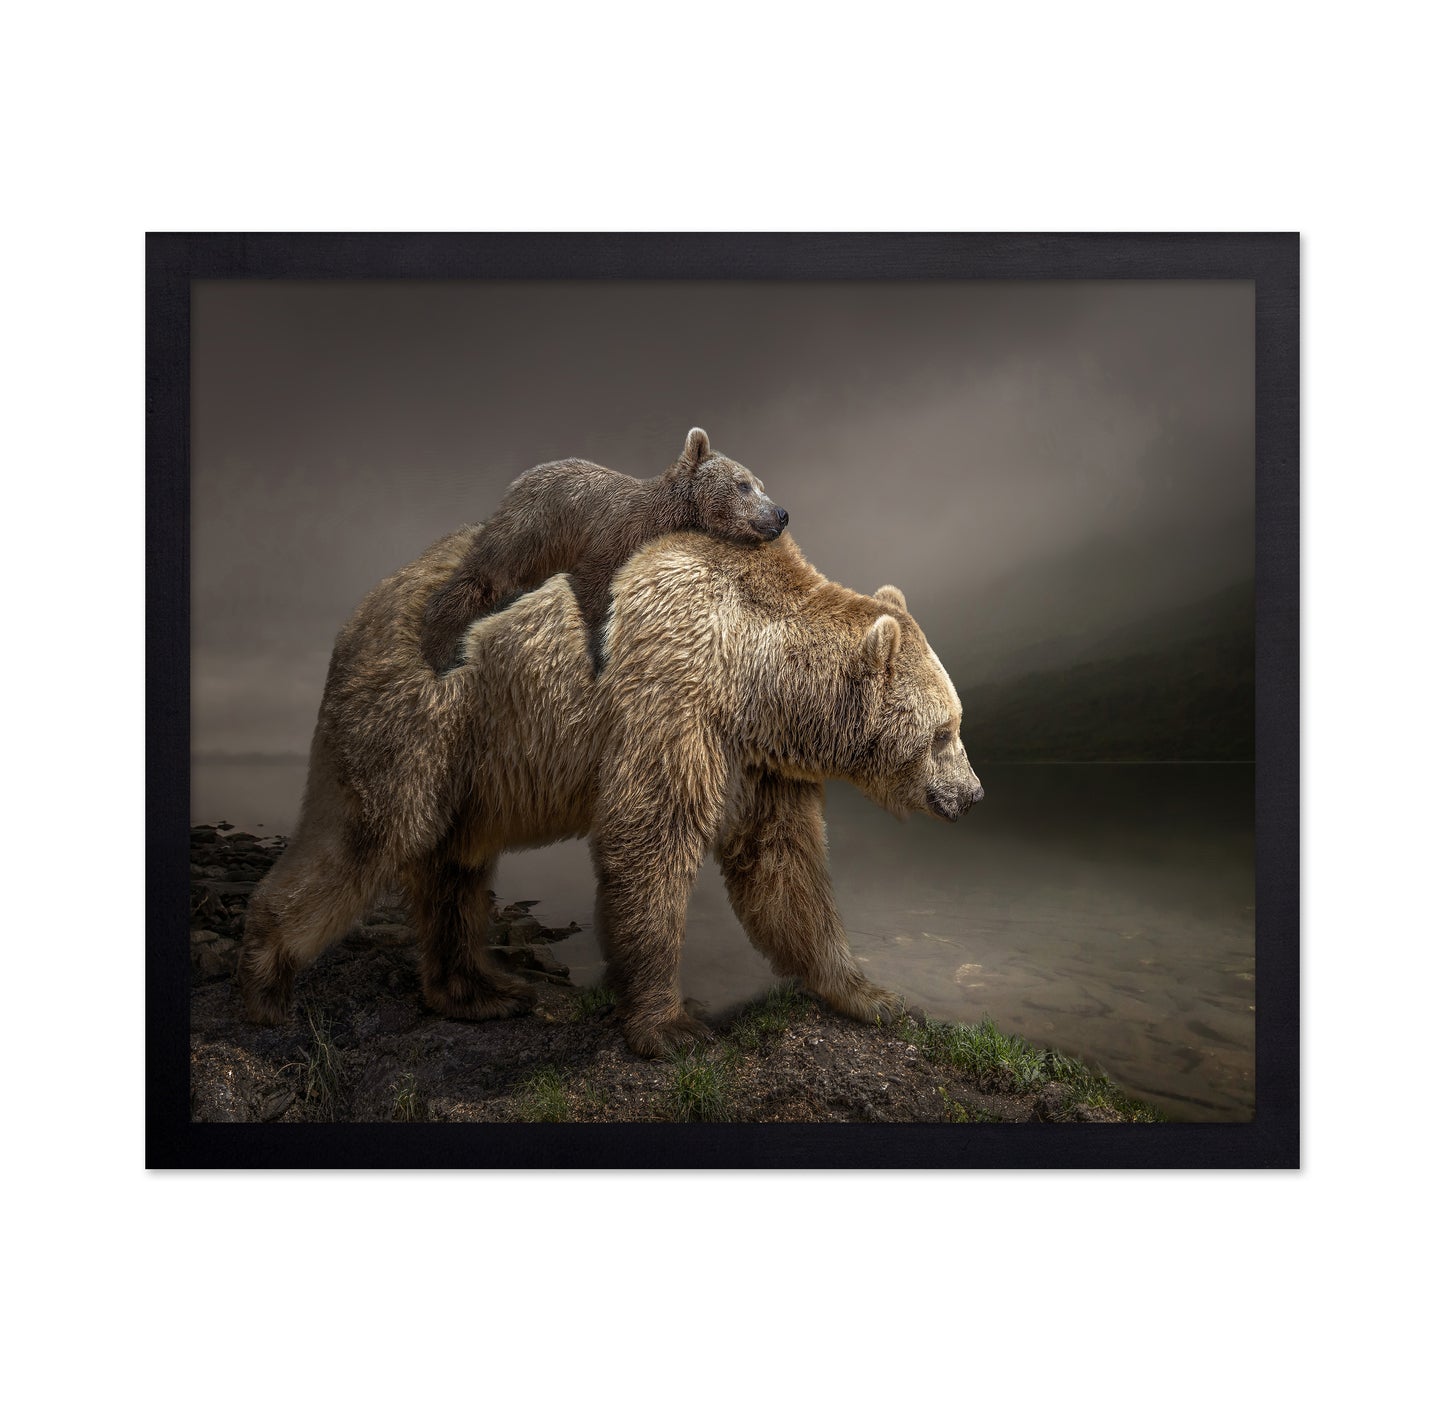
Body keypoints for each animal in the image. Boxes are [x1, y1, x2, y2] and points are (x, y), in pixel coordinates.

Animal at [238, 527, 983, 1057]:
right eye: (943, 731)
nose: (973, 794)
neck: (756, 678)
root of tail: (357, 613)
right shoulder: (672, 696)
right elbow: (649, 840)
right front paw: (672, 1025)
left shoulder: (761, 762)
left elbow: (783, 867)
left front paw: (872, 995)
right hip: (423, 713)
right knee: (367, 834)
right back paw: (267, 976)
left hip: (472, 758)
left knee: (454, 865)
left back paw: (479, 989)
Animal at [417, 427, 788, 672]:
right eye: (743, 484)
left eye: (761, 485)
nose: (780, 514)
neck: (662, 519)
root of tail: (517, 483)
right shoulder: (607, 540)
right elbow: (594, 591)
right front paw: (599, 658)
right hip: (529, 533)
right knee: (484, 577)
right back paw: (441, 649)